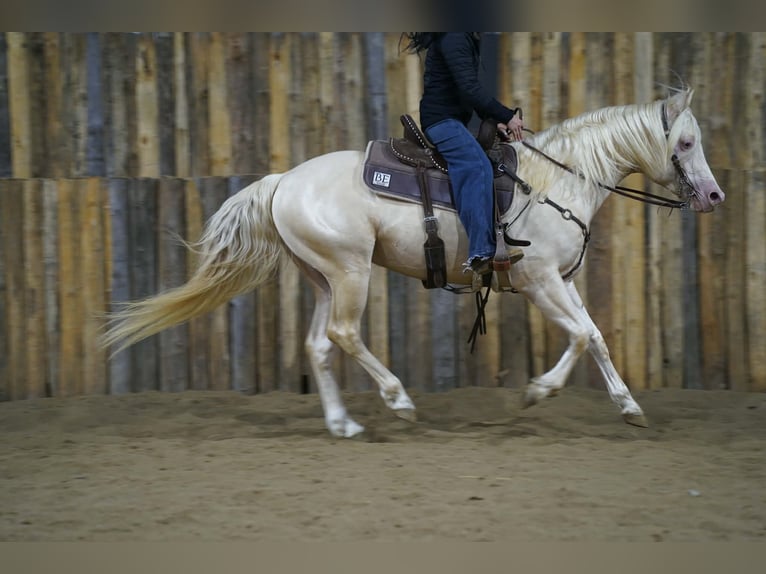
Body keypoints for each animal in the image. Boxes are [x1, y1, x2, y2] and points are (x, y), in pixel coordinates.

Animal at [102, 88, 724, 438]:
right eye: (685, 142)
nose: (714, 196)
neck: (556, 181)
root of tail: (283, 180)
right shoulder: (539, 280)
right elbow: (576, 338)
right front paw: (536, 392)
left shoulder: (563, 282)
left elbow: (595, 337)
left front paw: (630, 407)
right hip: (351, 272)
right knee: (344, 335)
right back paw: (398, 401)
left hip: (324, 277)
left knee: (319, 345)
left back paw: (343, 424)